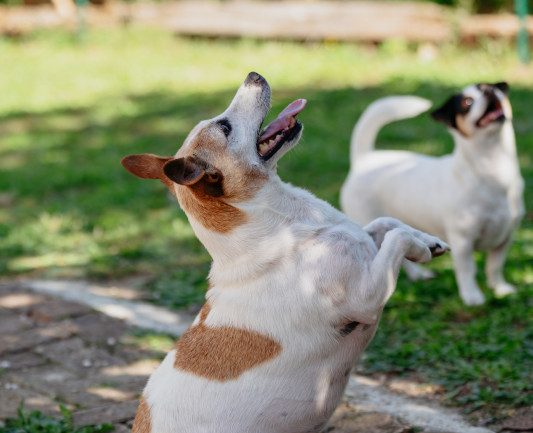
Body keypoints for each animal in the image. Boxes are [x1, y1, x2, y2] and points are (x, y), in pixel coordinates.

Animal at [122, 72, 446, 430]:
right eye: (225, 127)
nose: (253, 75)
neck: (286, 224)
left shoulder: (364, 242)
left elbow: (384, 223)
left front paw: (430, 241)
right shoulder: (367, 297)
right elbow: (396, 236)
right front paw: (420, 249)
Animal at [340, 82, 524, 306]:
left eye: (489, 88)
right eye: (467, 103)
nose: (490, 92)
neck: (493, 168)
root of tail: (365, 159)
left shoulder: (505, 238)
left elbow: (495, 266)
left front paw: (499, 288)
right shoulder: (463, 242)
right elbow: (467, 271)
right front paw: (472, 296)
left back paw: (419, 274)